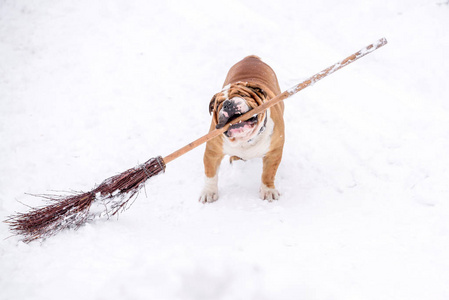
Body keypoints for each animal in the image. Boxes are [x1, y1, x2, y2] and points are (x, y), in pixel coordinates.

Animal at [200, 55, 284, 203]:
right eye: (218, 104)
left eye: (243, 95)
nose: (227, 103)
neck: (245, 139)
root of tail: (251, 57)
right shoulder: (212, 151)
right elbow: (210, 174)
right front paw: (209, 192)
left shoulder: (274, 152)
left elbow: (268, 173)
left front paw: (268, 191)